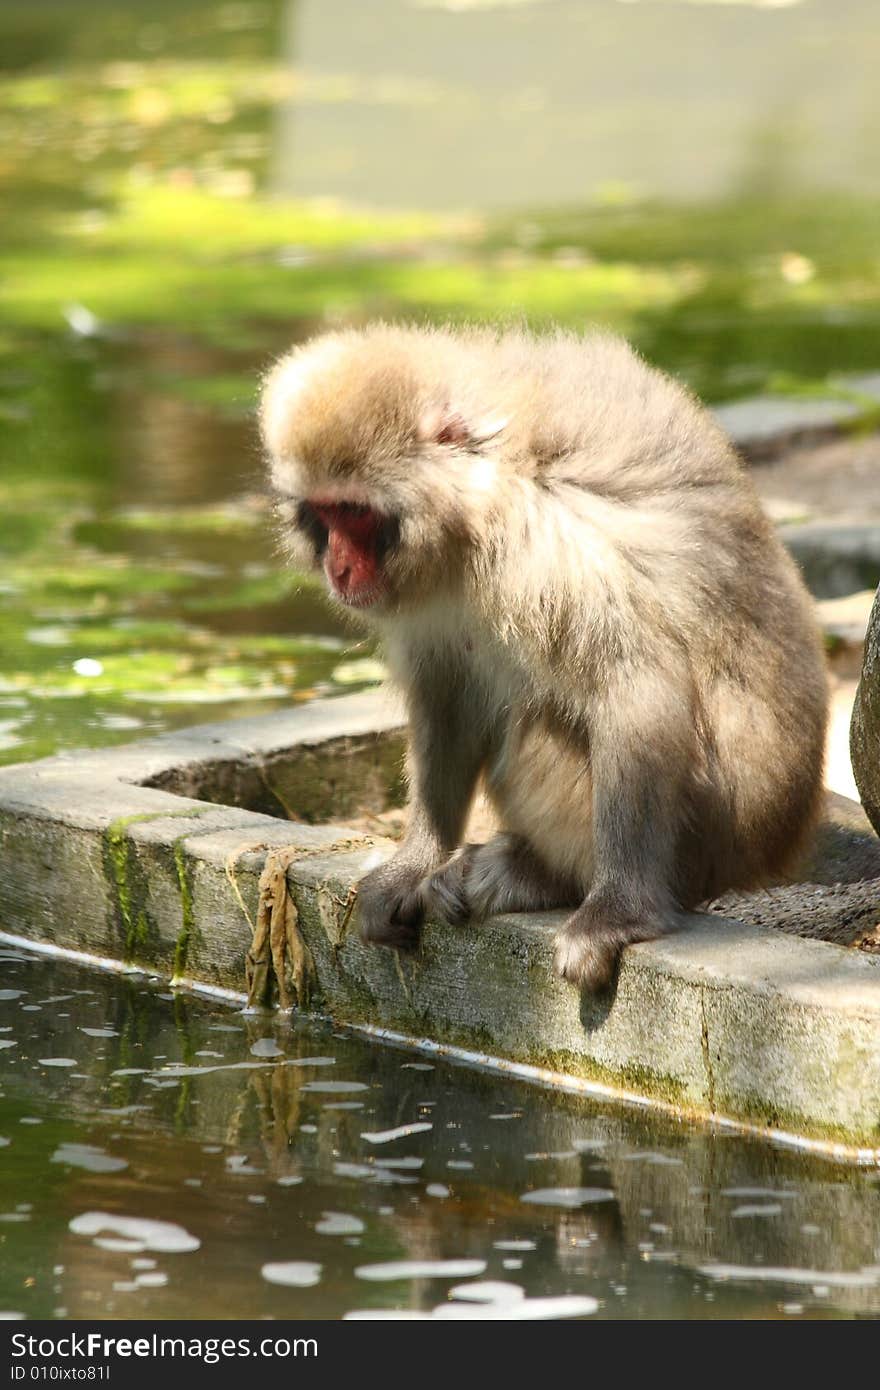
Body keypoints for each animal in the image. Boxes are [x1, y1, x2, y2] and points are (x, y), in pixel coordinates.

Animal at [257, 322, 828, 1000]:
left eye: (355, 513)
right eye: (321, 513)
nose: (338, 568)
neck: (472, 513)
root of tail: (772, 847)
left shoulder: (553, 541)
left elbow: (636, 687)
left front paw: (617, 913)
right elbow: (447, 693)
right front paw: (416, 859)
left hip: (702, 845)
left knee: (542, 719)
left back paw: (543, 875)